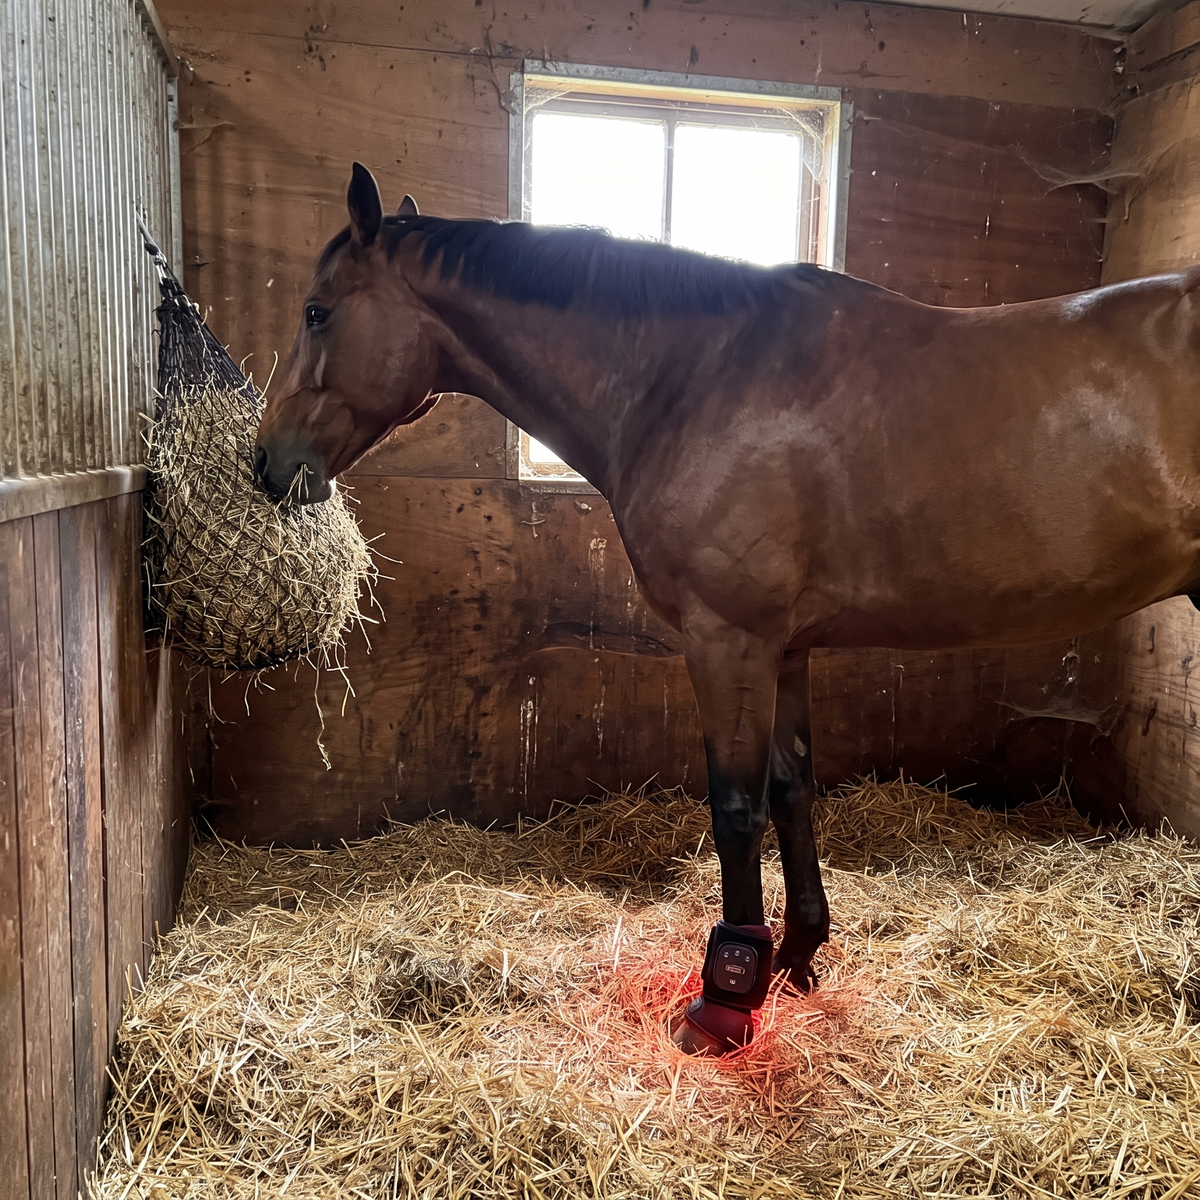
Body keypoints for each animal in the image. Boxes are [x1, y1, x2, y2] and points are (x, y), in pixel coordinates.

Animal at [255, 162, 1200, 1055]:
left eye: (316, 312)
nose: (267, 462)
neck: (690, 377)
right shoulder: (784, 649)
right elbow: (792, 789)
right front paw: (797, 956)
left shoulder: (728, 640)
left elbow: (736, 809)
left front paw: (728, 994)